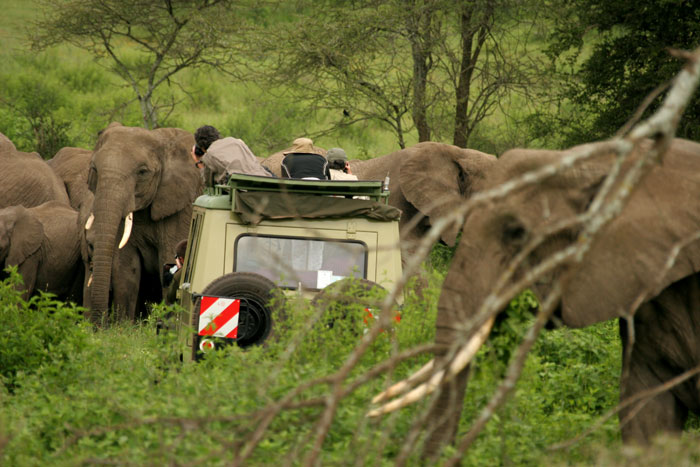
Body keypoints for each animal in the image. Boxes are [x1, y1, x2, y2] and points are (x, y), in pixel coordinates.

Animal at [76, 123, 201, 322]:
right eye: (94, 169)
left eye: (142, 172)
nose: (99, 325)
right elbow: (126, 269)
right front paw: (124, 327)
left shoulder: (182, 207)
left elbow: (168, 257)